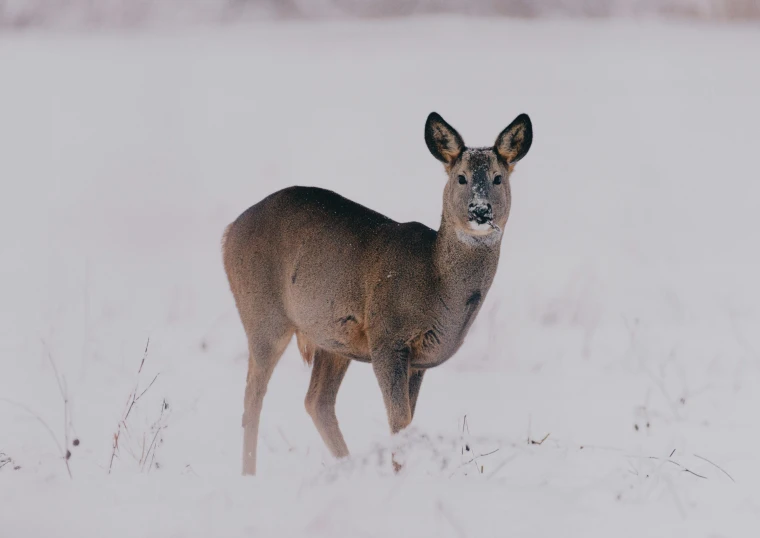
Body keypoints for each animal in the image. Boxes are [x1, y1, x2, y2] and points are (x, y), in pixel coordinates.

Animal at [223, 111, 532, 472]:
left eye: (498, 178)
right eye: (461, 177)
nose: (480, 211)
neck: (435, 283)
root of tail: (229, 232)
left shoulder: (417, 361)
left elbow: (407, 422)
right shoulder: (388, 336)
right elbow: (399, 421)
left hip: (332, 338)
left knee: (317, 401)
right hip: (263, 313)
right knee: (253, 400)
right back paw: (249, 474)